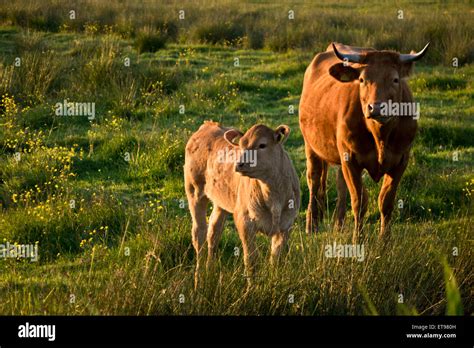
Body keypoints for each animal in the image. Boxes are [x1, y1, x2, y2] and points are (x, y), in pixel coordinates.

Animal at [183, 121, 298, 286]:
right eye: (242, 145)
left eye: (262, 145)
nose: (239, 164)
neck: (273, 196)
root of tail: (208, 125)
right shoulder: (244, 221)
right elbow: (251, 259)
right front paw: (252, 289)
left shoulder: (285, 226)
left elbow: (275, 259)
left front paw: (273, 284)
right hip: (194, 192)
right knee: (199, 235)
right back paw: (199, 279)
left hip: (221, 202)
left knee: (213, 232)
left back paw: (209, 271)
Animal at [300, 42, 430, 241]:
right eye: (361, 80)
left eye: (395, 80)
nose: (376, 108)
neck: (380, 136)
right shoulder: (350, 160)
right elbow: (359, 201)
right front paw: (357, 240)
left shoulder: (401, 161)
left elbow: (386, 201)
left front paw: (385, 240)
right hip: (312, 147)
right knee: (314, 180)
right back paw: (311, 226)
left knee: (340, 186)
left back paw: (339, 226)